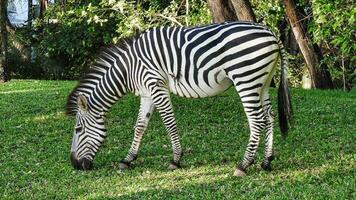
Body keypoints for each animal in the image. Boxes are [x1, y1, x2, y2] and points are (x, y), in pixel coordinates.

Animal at [66, 21, 292, 176]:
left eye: (78, 129)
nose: (75, 165)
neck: (129, 69)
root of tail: (272, 33)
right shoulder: (147, 92)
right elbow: (139, 126)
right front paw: (128, 159)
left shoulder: (156, 85)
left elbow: (169, 123)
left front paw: (175, 160)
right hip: (262, 82)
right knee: (269, 116)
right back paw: (267, 161)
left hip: (246, 78)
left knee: (256, 120)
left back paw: (243, 165)